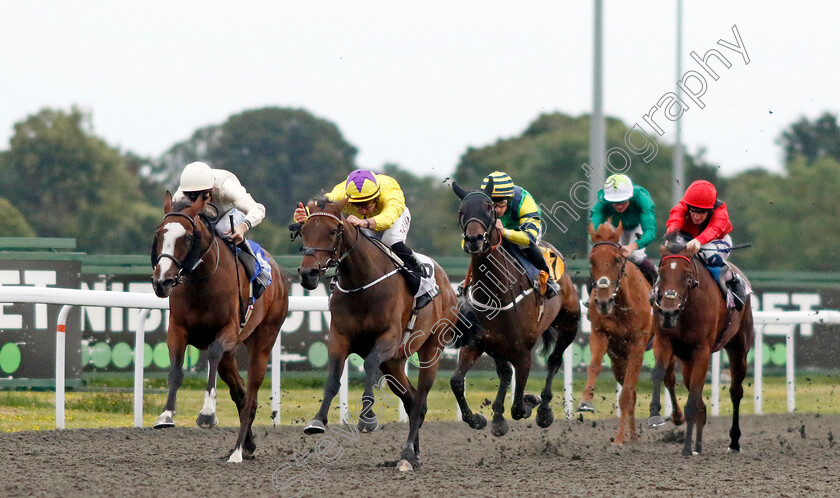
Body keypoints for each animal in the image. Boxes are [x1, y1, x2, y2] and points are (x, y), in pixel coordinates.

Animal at [153, 191, 290, 462]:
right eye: (159, 234)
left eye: (186, 237)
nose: (161, 281)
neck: (202, 282)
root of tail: (278, 274)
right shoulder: (177, 330)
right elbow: (176, 370)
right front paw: (166, 414)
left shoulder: (229, 332)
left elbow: (214, 353)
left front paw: (207, 413)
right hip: (231, 357)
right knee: (241, 393)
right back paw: (247, 445)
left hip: (263, 340)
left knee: (251, 395)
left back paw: (237, 452)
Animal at [292, 195, 456, 470]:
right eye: (304, 231)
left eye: (333, 231)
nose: (308, 274)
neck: (362, 284)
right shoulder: (339, 339)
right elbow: (333, 379)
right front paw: (317, 420)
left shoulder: (388, 338)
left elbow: (369, 364)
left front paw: (367, 419)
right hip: (394, 363)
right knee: (413, 401)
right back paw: (412, 455)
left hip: (431, 349)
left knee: (420, 399)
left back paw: (407, 452)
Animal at [452, 182, 576, 436]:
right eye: (462, 210)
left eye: (489, 208)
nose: (473, 239)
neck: (495, 293)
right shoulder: (477, 342)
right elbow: (457, 382)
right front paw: (478, 419)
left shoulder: (523, 352)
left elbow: (518, 405)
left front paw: (531, 401)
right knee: (506, 373)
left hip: (570, 324)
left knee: (554, 360)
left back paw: (544, 409)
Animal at [580, 222, 684, 444]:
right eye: (592, 260)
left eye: (616, 259)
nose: (603, 301)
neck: (621, 305)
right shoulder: (600, 334)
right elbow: (595, 367)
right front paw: (586, 401)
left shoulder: (638, 343)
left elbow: (626, 395)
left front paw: (619, 439)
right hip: (618, 358)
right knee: (632, 390)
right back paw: (634, 435)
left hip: (664, 348)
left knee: (669, 379)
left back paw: (677, 417)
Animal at [648, 235, 756, 458]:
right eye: (661, 273)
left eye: (687, 276)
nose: (668, 312)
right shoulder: (663, 341)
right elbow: (658, 373)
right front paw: (655, 414)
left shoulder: (702, 351)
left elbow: (692, 402)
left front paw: (686, 448)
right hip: (687, 361)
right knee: (698, 399)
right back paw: (698, 444)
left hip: (738, 349)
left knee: (735, 392)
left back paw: (733, 442)